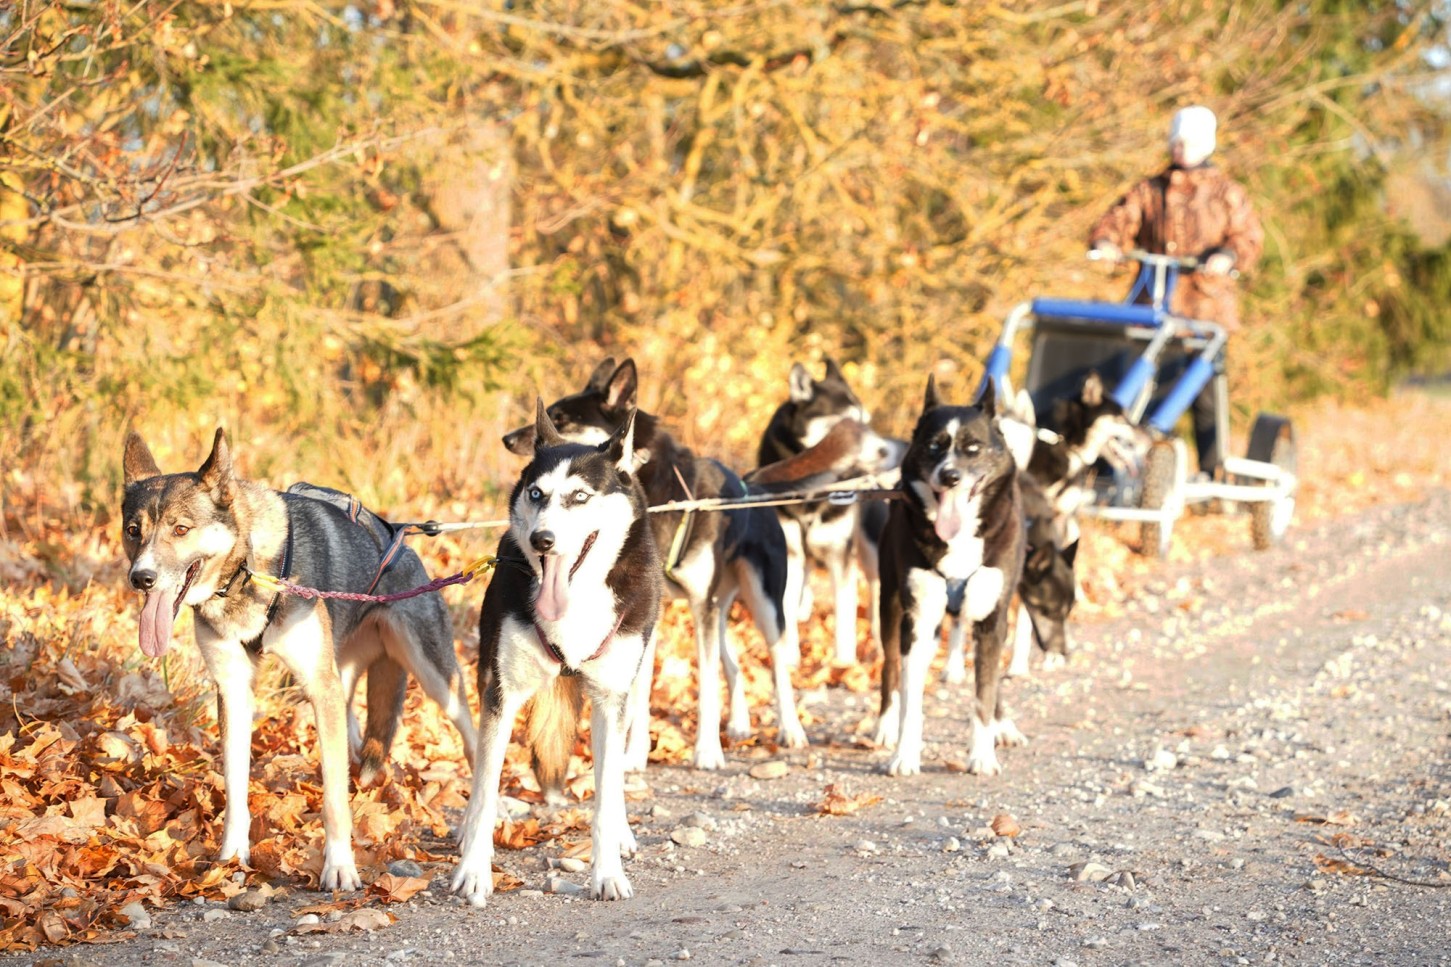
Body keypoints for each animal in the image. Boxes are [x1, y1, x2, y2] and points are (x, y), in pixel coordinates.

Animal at [121, 429, 475, 888]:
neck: (250, 568)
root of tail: (402, 542)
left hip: (435, 679)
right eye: (133, 531)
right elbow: (236, 784)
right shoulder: (234, 692)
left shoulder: (319, 689)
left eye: (181, 529)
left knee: (473, 739)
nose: (141, 578)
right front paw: (232, 856)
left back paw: (474, 828)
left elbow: (333, 799)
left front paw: (339, 865)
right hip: (344, 684)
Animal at [452, 397, 658, 906]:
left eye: (580, 497)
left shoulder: (609, 699)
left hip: (630, 684)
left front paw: (607, 871)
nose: (541, 540)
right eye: (536, 494)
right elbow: (486, 787)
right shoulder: (501, 695)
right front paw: (474, 871)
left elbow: (604, 796)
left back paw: (623, 833)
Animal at [760, 361, 905, 662]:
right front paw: (790, 657)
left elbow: (845, 616)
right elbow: (785, 609)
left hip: (872, 550)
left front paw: (844, 662)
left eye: (866, 420)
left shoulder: (840, 555)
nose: (886, 451)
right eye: (846, 422)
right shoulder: (789, 552)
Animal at [864, 377, 1027, 778]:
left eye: (973, 448)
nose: (950, 476)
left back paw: (1003, 726)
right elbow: (910, 699)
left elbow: (984, 694)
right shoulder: (917, 620)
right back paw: (885, 724)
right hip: (891, 607)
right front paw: (905, 755)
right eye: (933, 446)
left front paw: (983, 754)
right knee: (891, 668)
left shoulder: (992, 619)